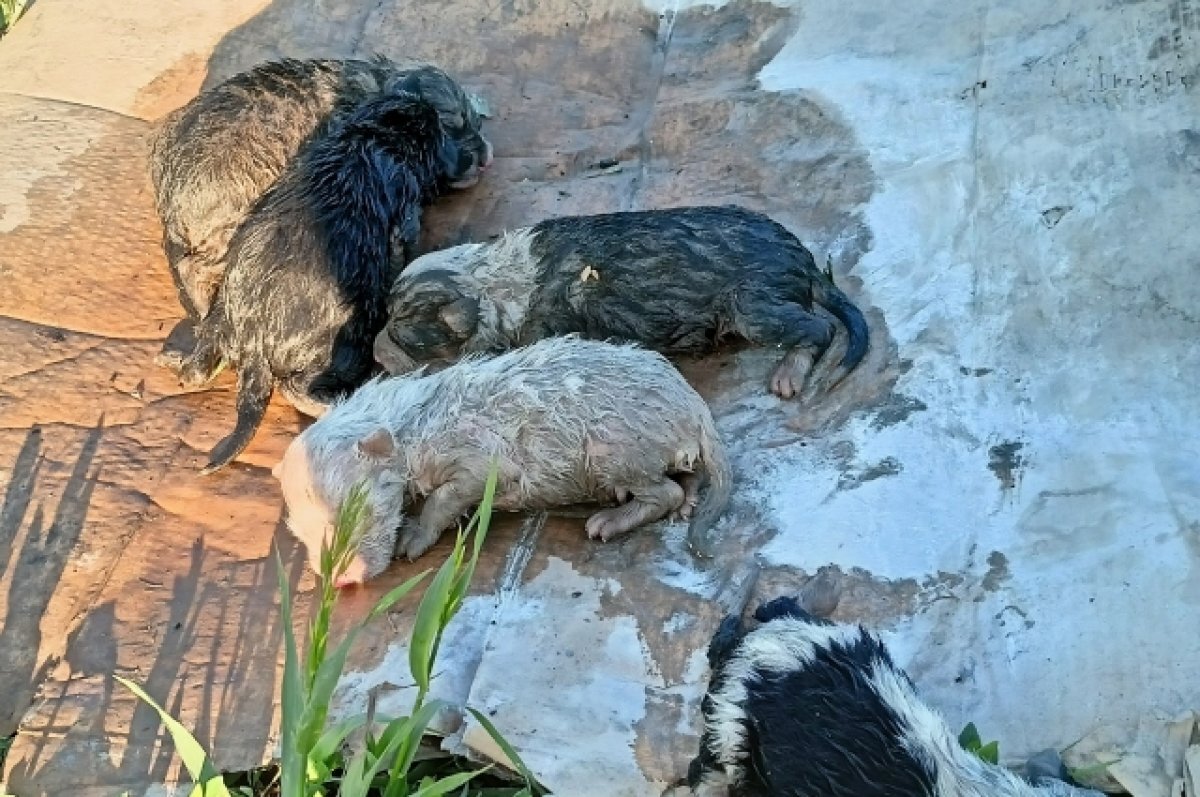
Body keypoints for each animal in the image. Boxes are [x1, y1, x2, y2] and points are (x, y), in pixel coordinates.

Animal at [181, 91, 463, 472]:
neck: (369, 136)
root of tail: (254, 343)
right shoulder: (406, 206)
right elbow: (406, 241)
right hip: (348, 339)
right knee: (298, 386)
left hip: (220, 314)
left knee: (200, 359)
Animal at [276, 336, 734, 585]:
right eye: (300, 533)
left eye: (355, 513)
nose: (342, 580)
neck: (408, 422)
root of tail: (696, 406)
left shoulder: (476, 451)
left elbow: (450, 495)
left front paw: (414, 537)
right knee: (685, 475)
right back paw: (688, 498)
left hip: (617, 446)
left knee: (664, 491)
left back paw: (611, 519)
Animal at [369, 202, 868, 396]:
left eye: (401, 331)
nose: (373, 351)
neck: (492, 283)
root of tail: (803, 258)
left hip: (754, 304)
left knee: (817, 327)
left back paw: (789, 373)